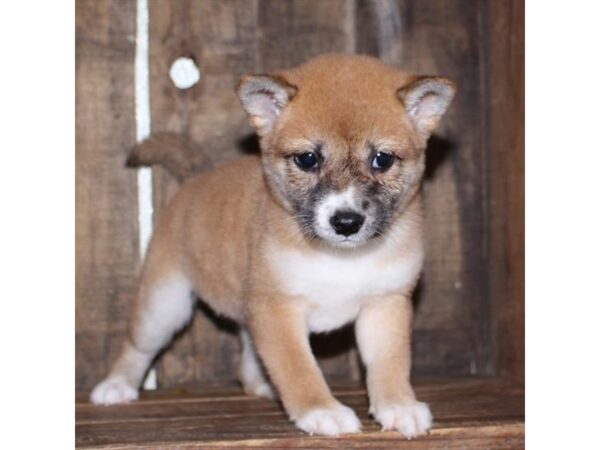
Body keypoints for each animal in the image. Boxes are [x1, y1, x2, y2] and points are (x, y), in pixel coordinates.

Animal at [90, 54, 454, 438]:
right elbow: (299, 369)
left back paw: (263, 385)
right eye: (307, 159)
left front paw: (398, 405)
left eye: (382, 159)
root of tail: (196, 181)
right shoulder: (276, 309)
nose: (346, 222)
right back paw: (116, 386)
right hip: (163, 305)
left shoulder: (384, 304)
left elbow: (390, 363)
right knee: (137, 347)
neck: (339, 258)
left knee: (248, 361)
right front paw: (321, 411)